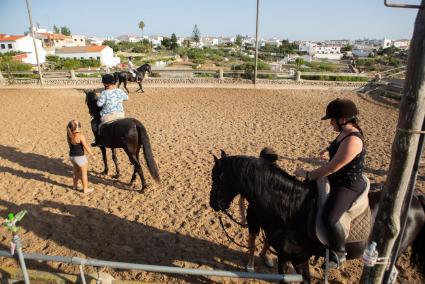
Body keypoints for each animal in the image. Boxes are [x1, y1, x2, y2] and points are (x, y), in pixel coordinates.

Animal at [210, 150, 424, 282]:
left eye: (218, 179)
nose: (213, 204)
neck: (290, 210)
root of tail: (415, 199)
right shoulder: (284, 256)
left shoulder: (299, 258)